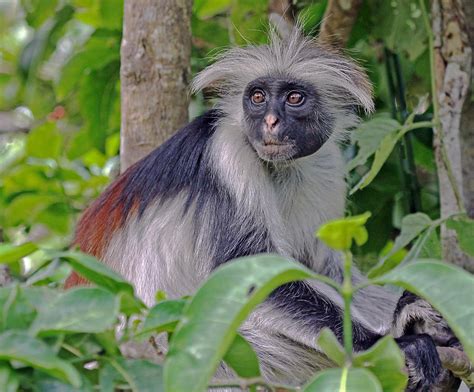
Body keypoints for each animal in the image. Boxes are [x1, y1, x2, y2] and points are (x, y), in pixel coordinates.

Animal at [66, 28, 460, 392]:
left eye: (294, 98)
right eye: (258, 97)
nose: (270, 121)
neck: (279, 168)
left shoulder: (327, 163)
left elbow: (326, 269)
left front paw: (411, 313)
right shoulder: (229, 152)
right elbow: (250, 273)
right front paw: (391, 340)